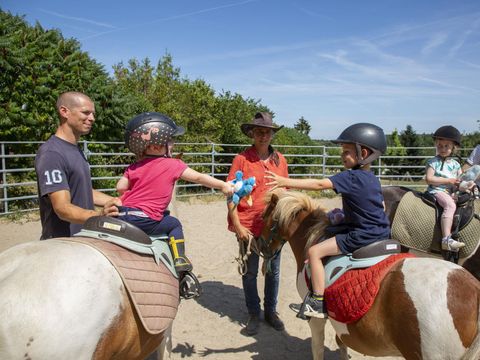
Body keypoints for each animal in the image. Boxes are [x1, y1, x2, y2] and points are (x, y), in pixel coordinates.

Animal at [260, 190, 480, 358]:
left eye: (262, 218)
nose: (259, 247)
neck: (315, 239)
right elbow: (341, 343)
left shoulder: (316, 319)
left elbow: (318, 348)